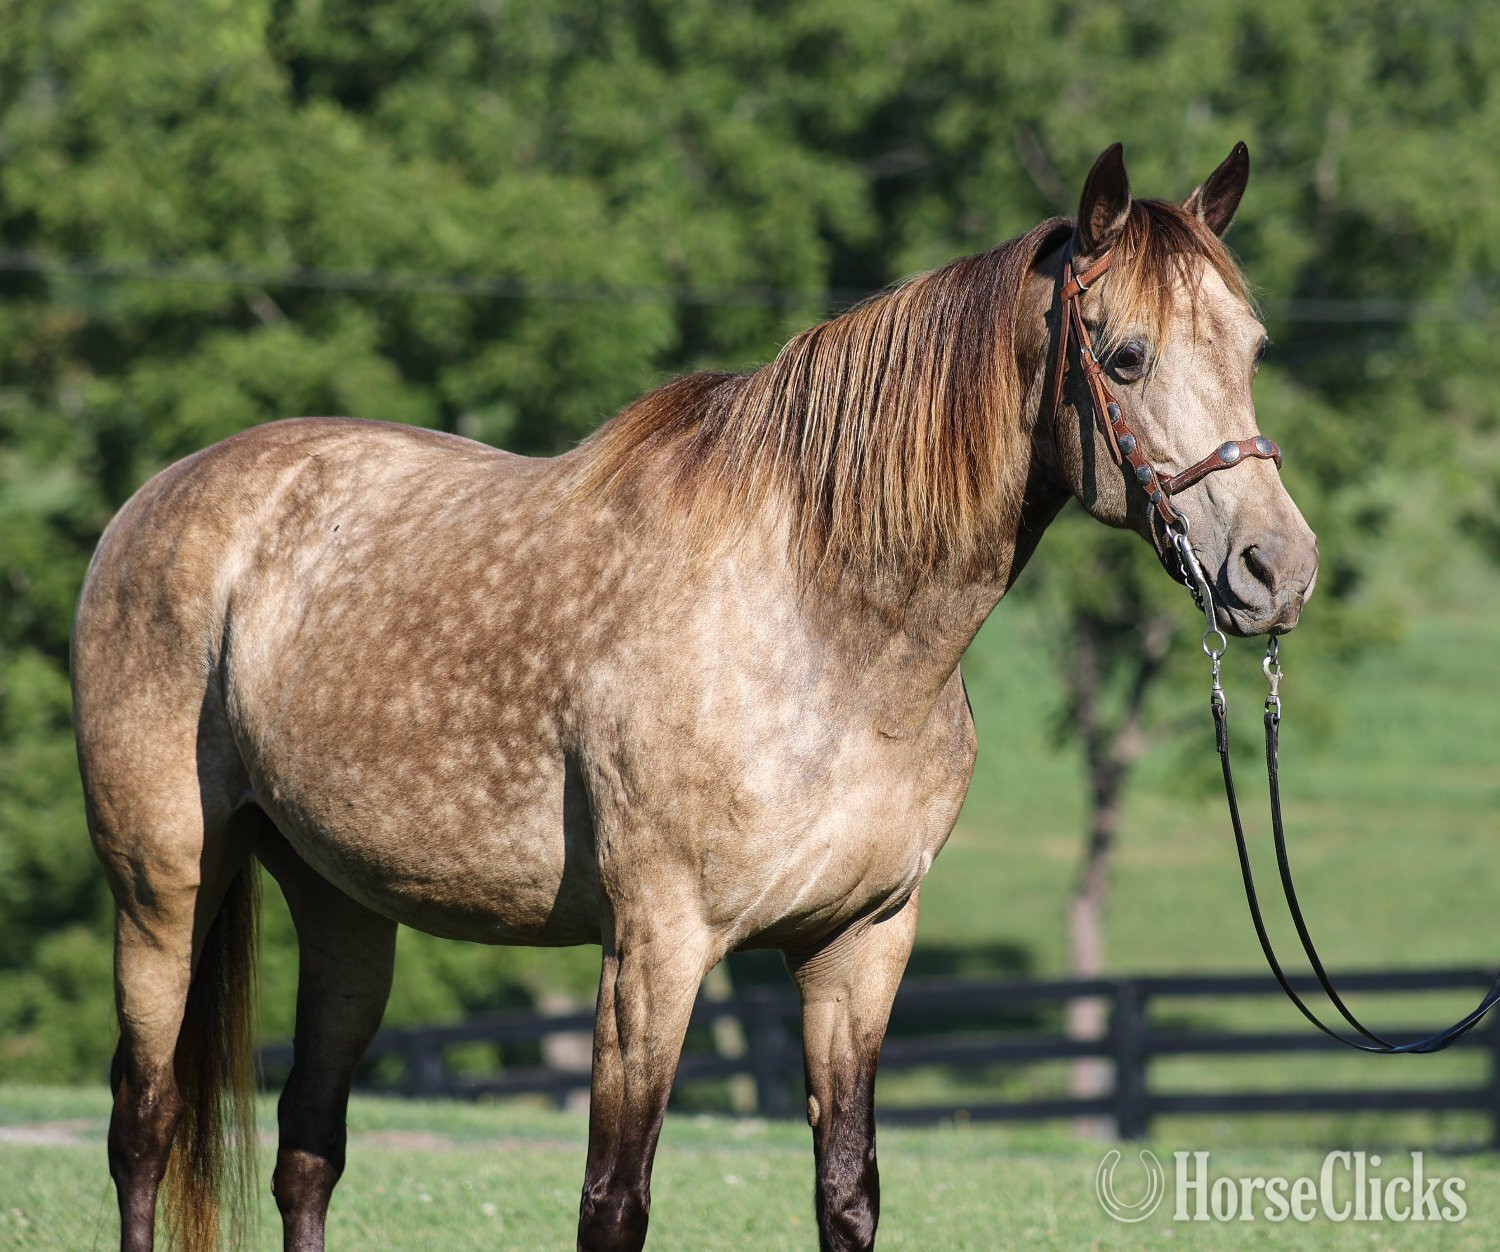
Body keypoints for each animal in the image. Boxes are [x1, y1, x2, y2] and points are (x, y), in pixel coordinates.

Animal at [74, 141, 1317, 1251]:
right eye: (1125, 356)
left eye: (1254, 346)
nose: (1277, 569)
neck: (825, 631)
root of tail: (162, 497)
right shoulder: (655, 951)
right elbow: (614, 1204)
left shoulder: (860, 948)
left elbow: (847, 1194)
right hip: (163, 891)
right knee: (144, 1126)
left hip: (342, 907)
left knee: (307, 1151)